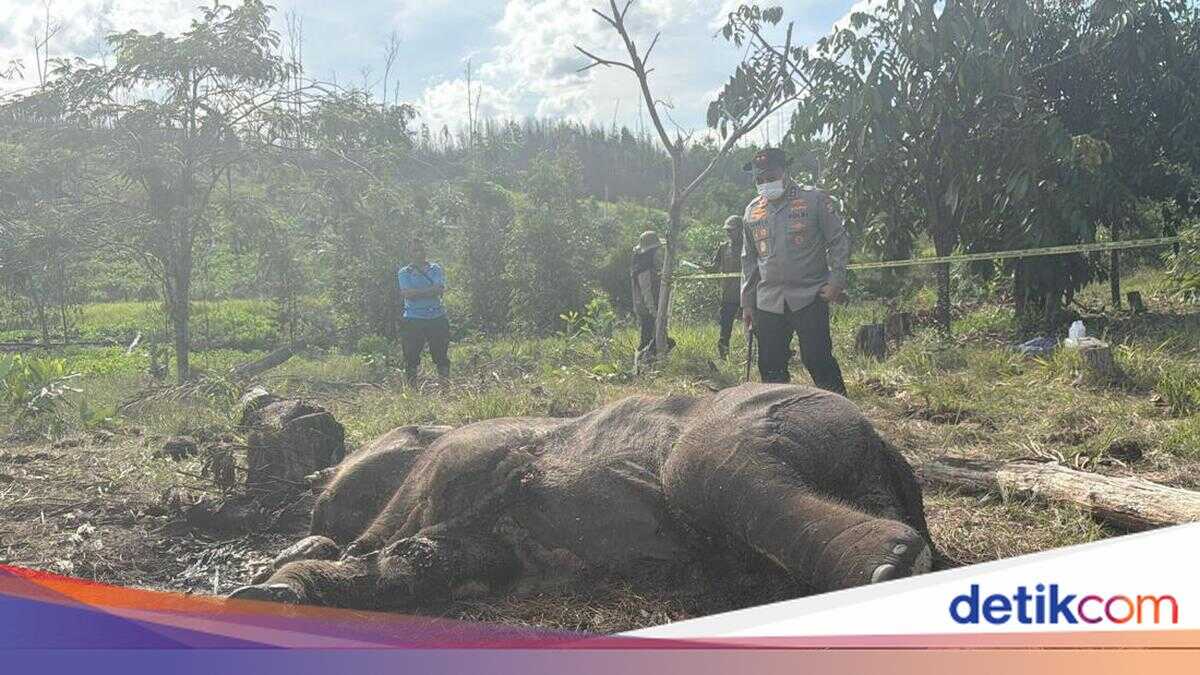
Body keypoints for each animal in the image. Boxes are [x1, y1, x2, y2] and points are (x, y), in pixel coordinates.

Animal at [230, 383, 938, 611]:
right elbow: (420, 563)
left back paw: (890, 564)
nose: (315, 498)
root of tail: (890, 451)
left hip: (778, 406)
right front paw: (273, 592)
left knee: (700, 464)